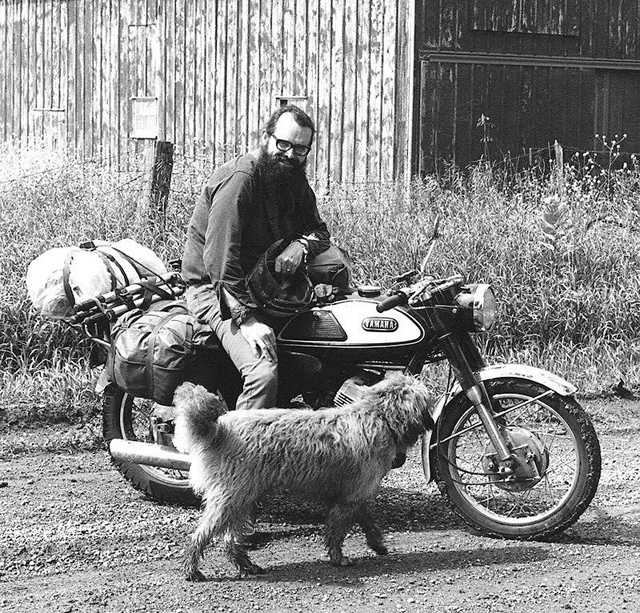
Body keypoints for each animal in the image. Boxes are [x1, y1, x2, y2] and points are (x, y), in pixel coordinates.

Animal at [174, 372, 436, 580]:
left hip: (243, 497)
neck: (378, 415)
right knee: (201, 535)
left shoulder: (354, 493)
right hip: (231, 497)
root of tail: (220, 429)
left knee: (231, 540)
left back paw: (247, 565)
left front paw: (377, 544)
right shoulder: (349, 498)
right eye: (426, 403)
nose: (432, 423)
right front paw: (339, 558)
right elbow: (337, 532)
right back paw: (192, 569)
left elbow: (367, 520)